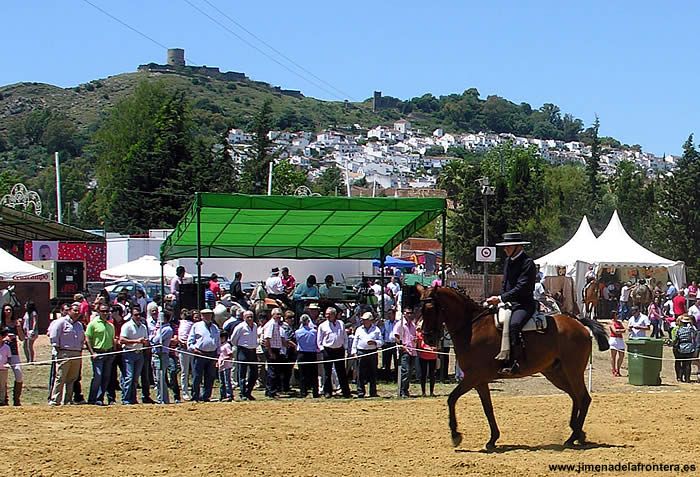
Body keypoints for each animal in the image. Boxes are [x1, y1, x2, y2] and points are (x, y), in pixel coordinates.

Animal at [408, 284, 608, 448]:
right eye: (420, 308)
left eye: (430, 308)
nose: (427, 338)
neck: (472, 328)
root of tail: (578, 323)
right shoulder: (479, 381)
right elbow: (487, 408)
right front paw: (492, 439)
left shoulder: (473, 377)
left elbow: (452, 398)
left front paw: (456, 435)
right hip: (555, 373)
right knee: (575, 397)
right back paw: (576, 434)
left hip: (573, 371)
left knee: (584, 398)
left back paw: (574, 435)